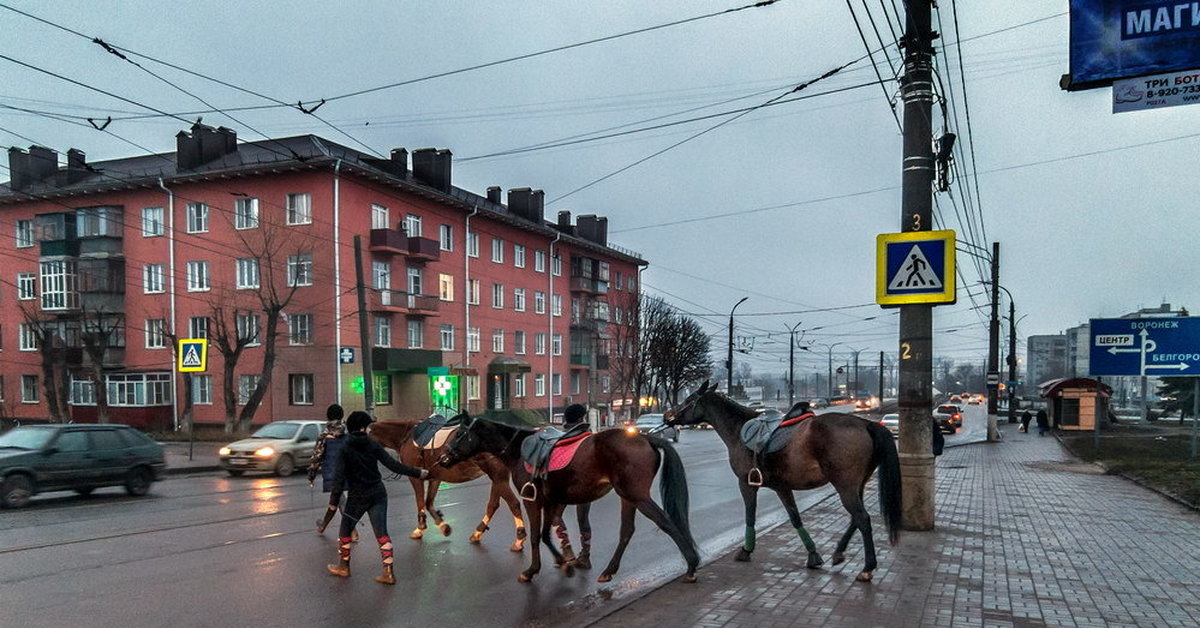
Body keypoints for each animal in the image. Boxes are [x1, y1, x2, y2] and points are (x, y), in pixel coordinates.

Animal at [372, 422, 528, 549]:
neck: (407, 435)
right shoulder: (435, 478)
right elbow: (428, 503)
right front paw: (443, 526)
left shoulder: (416, 478)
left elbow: (421, 503)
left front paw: (421, 528)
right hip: (497, 478)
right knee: (493, 505)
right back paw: (478, 532)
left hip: (497, 476)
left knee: (513, 504)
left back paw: (519, 540)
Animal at [439, 413, 700, 585]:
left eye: (460, 434)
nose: (443, 458)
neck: (520, 450)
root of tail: (647, 438)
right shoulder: (552, 501)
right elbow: (546, 534)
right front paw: (564, 563)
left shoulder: (533, 501)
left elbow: (535, 536)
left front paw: (531, 570)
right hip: (628, 497)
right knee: (627, 531)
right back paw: (609, 570)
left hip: (636, 496)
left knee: (666, 522)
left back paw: (691, 564)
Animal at [667, 381, 902, 583]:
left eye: (689, 399)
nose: (668, 415)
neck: (739, 429)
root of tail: (866, 424)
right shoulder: (782, 487)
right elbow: (795, 518)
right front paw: (813, 555)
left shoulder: (746, 484)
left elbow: (750, 515)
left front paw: (746, 550)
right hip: (856, 486)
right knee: (857, 518)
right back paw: (838, 553)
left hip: (845, 487)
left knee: (862, 519)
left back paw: (867, 568)